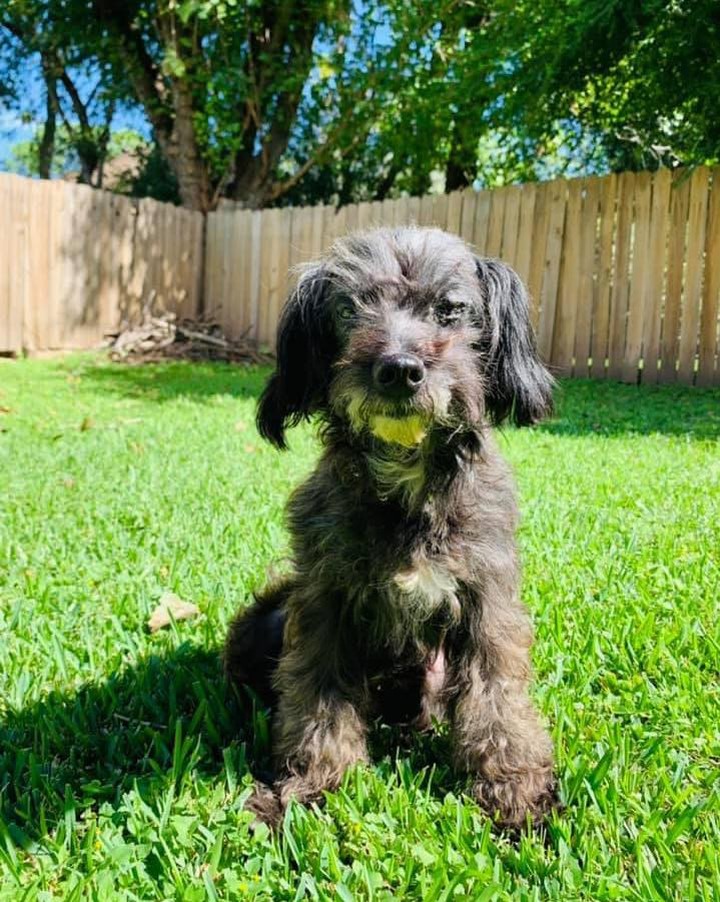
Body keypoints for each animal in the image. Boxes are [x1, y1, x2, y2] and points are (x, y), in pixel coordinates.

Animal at [225, 228, 556, 832]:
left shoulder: (487, 602)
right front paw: (308, 787)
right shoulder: (324, 605)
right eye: (350, 309)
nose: (399, 368)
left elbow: (498, 698)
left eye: (450, 309)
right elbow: (317, 698)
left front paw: (517, 794)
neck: (406, 479)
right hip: (268, 620)